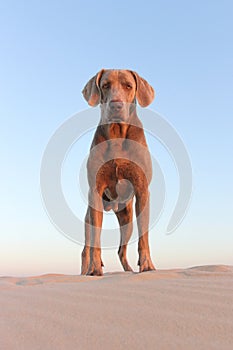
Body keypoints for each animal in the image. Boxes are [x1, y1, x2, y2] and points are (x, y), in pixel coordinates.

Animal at [81, 69, 156, 276]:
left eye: (128, 86)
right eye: (105, 85)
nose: (116, 105)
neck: (116, 134)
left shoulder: (142, 189)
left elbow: (144, 236)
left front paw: (147, 266)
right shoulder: (95, 190)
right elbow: (96, 241)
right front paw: (94, 269)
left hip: (127, 219)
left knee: (121, 250)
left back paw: (129, 270)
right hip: (90, 216)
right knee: (86, 248)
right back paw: (85, 271)